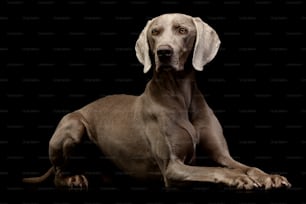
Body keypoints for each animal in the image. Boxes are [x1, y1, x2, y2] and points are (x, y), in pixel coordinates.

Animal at [22, 13, 290, 190]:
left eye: (182, 30)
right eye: (155, 32)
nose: (163, 52)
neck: (181, 96)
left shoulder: (223, 154)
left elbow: (240, 165)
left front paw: (268, 176)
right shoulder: (172, 167)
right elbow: (213, 168)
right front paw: (239, 179)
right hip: (74, 126)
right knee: (58, 172)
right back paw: (73, 178)